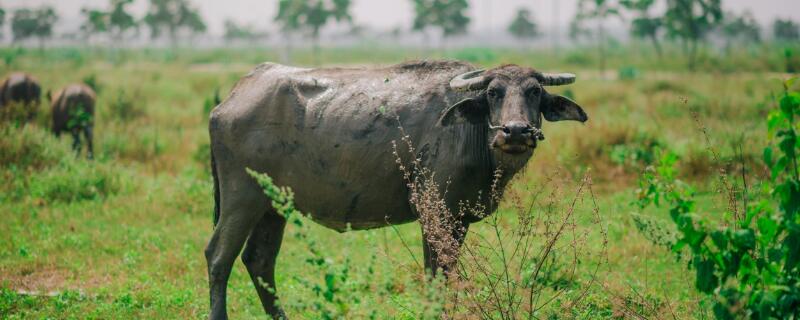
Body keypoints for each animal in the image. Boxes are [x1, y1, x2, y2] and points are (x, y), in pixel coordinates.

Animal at [203, 60, 584, 320]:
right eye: (493, 93)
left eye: (535, 92)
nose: (515, 131)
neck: (469, 132)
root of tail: (229, 100)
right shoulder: (434, 213)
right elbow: (436, 275)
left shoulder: (458, 220)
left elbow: (448, 274)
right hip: (242, 200)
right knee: (219, 256)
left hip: (273, 206)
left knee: (259, 260)